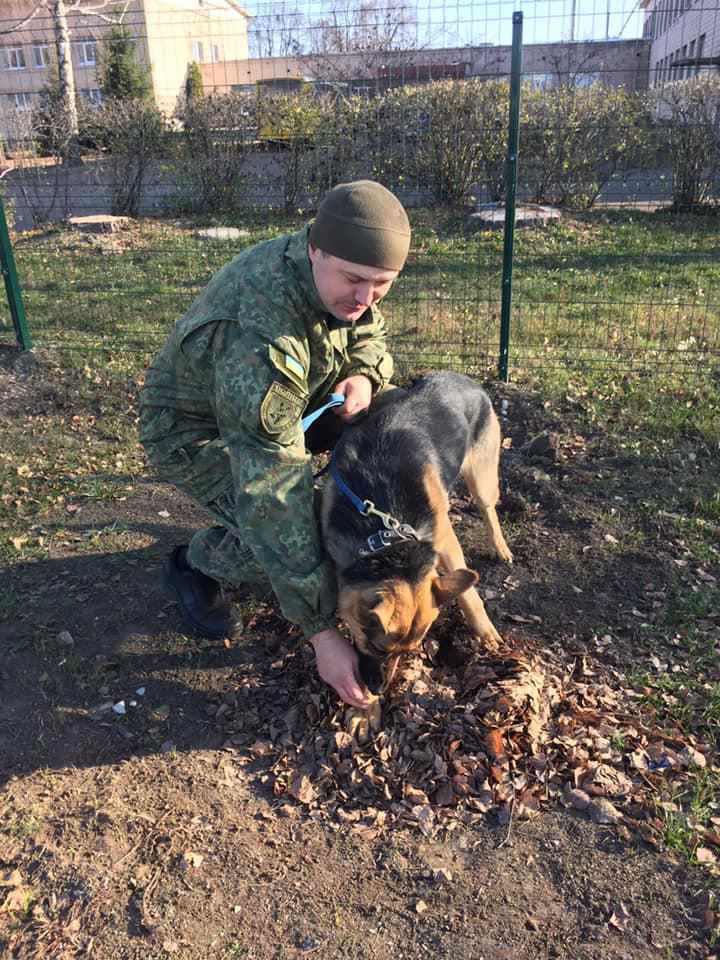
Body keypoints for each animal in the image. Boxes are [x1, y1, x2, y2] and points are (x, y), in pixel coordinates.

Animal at [320, 372, 512, 692]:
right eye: (377, 648)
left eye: (407, 652)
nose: (379, 691)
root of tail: (463, 378)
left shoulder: (445, 539)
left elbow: (468, 594)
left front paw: (484, 630)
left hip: (482, 478)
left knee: (489, 509)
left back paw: (500, 547)